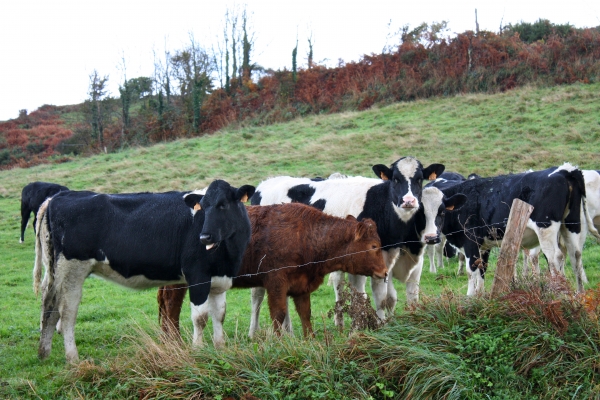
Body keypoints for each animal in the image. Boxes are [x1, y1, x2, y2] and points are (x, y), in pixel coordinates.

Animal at [33, 180, 253, 362]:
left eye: (223, 205)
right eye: (203, 208)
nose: (205, 237)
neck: (228, 254)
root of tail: (57, 197)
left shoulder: (220, 279)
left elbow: (220, 315)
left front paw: (220, 348)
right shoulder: (197, 276)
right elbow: (200, 318)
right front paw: (198, 351)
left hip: (56, 272)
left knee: (49, 305)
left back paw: (44, 352)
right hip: (72, 270)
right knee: (66, 312)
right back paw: (72, 358)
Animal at [157, 203, 386, 338]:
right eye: (374, 246)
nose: (384, 272)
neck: (306, 235)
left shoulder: (301, 286)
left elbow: (305, 313)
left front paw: (311, 340)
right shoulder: (276, 283)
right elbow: (279, 313)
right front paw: (278, 341)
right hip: (178, 283)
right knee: (172, 306)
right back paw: (174, 338)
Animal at [248, 156, 464, 324]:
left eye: (419, 179)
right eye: (395, 179)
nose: (409, 201)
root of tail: (265, 184)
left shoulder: (396, 260)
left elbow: (399, 296)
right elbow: (369, 296)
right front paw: (370, 326)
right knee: (257, 294)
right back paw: (254, 334)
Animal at [432, 164, 596, 296]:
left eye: (441, 211)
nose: (431, 237)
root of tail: (565, 170)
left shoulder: (470, 240)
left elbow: (471, 269)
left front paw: (470, 297)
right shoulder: (484, 245)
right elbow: (482, 268)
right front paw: (480, 294)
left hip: (546, 229)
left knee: (555, 257)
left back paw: (558, 293)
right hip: (571, 224)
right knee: (575, 255)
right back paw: (579, 293)